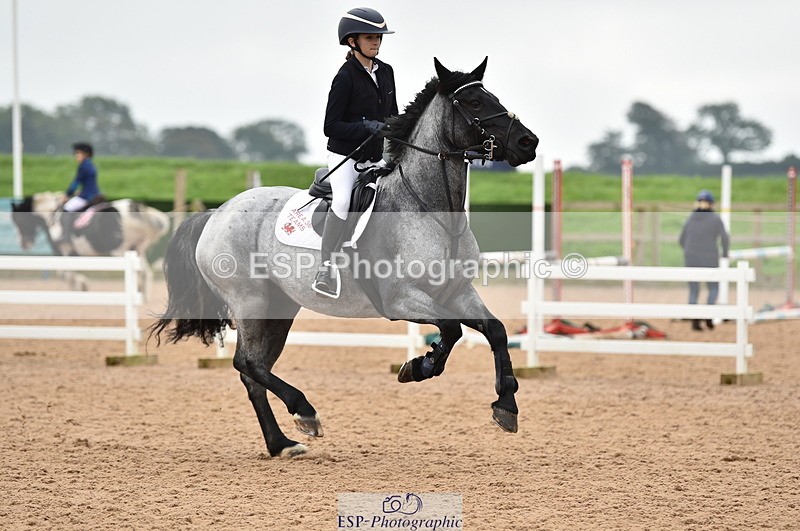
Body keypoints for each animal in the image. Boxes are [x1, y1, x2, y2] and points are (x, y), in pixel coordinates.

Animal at [11, 192, 170, 296]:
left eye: (19, 220)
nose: (23, 243)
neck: (52, 216)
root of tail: (135, 208)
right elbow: (67, 273)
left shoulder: (64, 252)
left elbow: (64, 274)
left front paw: (81, 286)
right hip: (138, 250)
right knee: (145, 273)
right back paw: (143, 297)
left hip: (121, 251)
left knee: (138, 273)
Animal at [150, 57, 539, 458]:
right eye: (475, 103)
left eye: (492, 96)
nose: (528, 142)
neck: (431, 210)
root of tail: (217, 212)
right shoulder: (402, 299)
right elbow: (451, 329)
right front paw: (420, 366)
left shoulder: (457, 292)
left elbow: (494, 330)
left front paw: (506, 406)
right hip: (250, 300)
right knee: (246, 361)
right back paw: (304, 412)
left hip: (278, 308)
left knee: (253, 369)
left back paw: (282, 443)